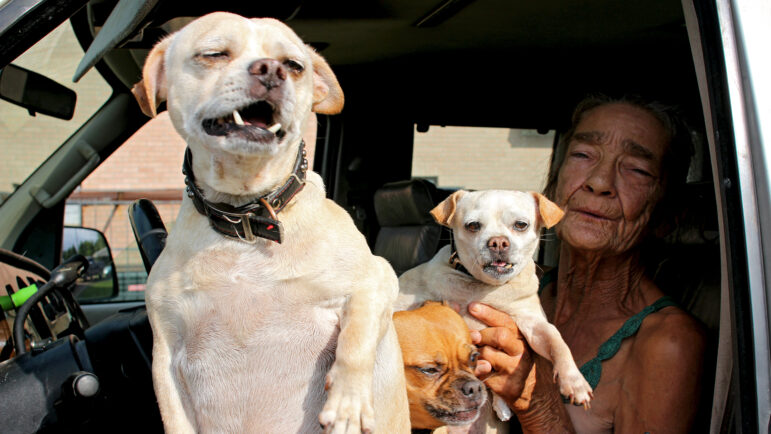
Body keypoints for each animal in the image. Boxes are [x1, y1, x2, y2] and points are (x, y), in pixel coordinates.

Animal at [133, 11, 410, 432]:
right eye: (214, 54)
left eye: (294, 65)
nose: (271, 70)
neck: (245, 216)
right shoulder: (166, 356)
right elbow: (173, 416)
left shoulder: (376, 278)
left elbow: (356, 337)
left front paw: (347, 401)